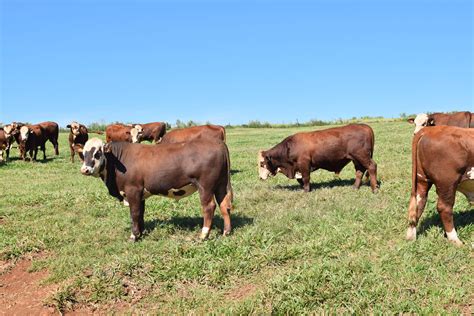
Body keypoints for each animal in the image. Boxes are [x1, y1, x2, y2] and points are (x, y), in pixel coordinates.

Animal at [80, 137, 232, 241]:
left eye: (98, 153)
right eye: (84, 154)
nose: (85, 170)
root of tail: (217, 142)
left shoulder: (133, 190)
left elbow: (134, 213)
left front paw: (133, 236)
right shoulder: (140, 193)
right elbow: (140, 213)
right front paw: (140, 233)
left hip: (205, 186)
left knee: (209, 207)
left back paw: (203, 234)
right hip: (221, 184)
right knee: (224, 205)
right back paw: (227, 232)